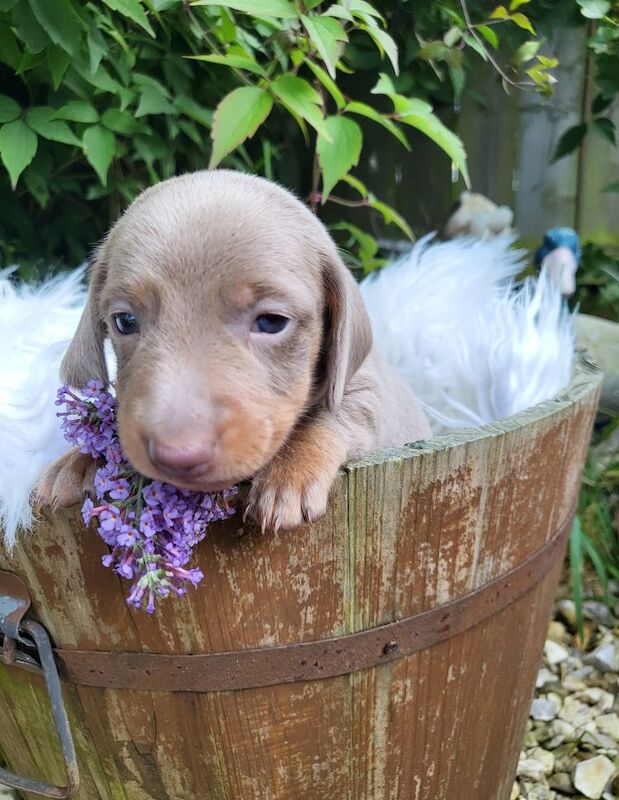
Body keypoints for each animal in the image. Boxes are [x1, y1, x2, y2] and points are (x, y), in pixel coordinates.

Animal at [36, 170, 428, 532]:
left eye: (271, 321)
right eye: (125, 321)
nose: (177, 455)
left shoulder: (367, 391)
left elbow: (331, 417)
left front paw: (289, 474)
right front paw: (79, 461)